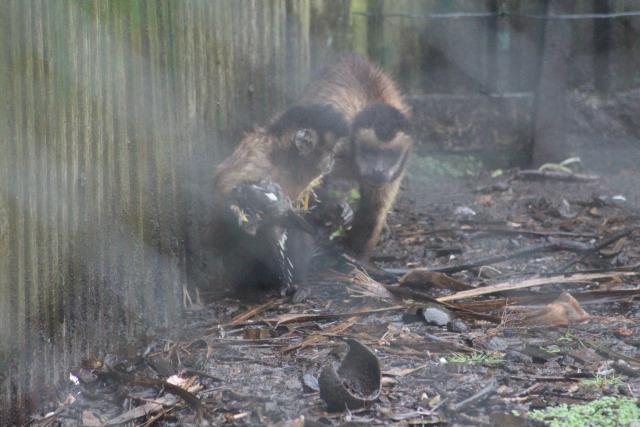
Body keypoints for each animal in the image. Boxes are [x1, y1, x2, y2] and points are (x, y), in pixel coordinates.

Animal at [206, 103, 348, 298]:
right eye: (330, 152)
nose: (332, 160)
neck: (283, 158)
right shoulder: (257, 159)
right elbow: (226, 200)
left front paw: (337, 209)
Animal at [302, 54, 416, 260]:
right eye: (370, 152)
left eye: (389, 155)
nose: (378, 169)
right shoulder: (337, 142)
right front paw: (334, 208)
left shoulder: (395, 173)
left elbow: (373, 212)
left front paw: (356, 258)